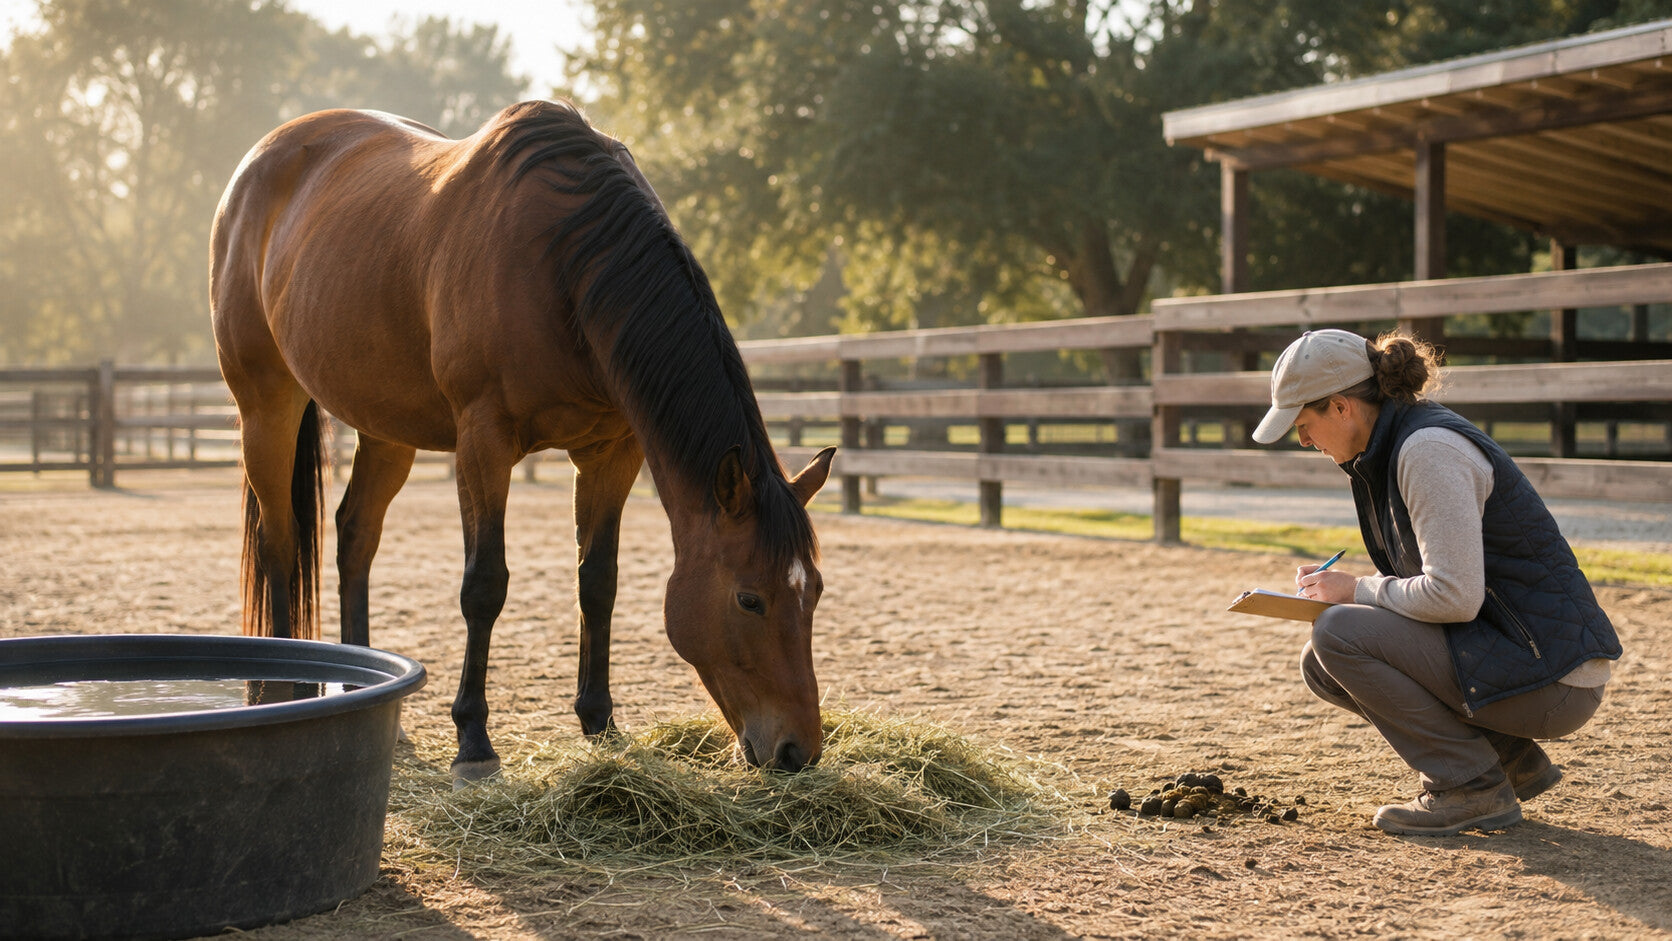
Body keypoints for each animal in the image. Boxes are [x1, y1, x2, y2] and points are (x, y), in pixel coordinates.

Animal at [209, 99, 836, 781]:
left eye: (814, 591)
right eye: (749, 599)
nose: (797, 750)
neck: (563, 263)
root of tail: (259, 162)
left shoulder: (612, 452)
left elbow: (599, 581)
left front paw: (600, 722)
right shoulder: (484, 443)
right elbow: (484, 585)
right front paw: (473, 739)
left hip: (385, 425)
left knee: (355, 536)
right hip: (266, 404)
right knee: (279, 542)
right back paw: (282, 692)